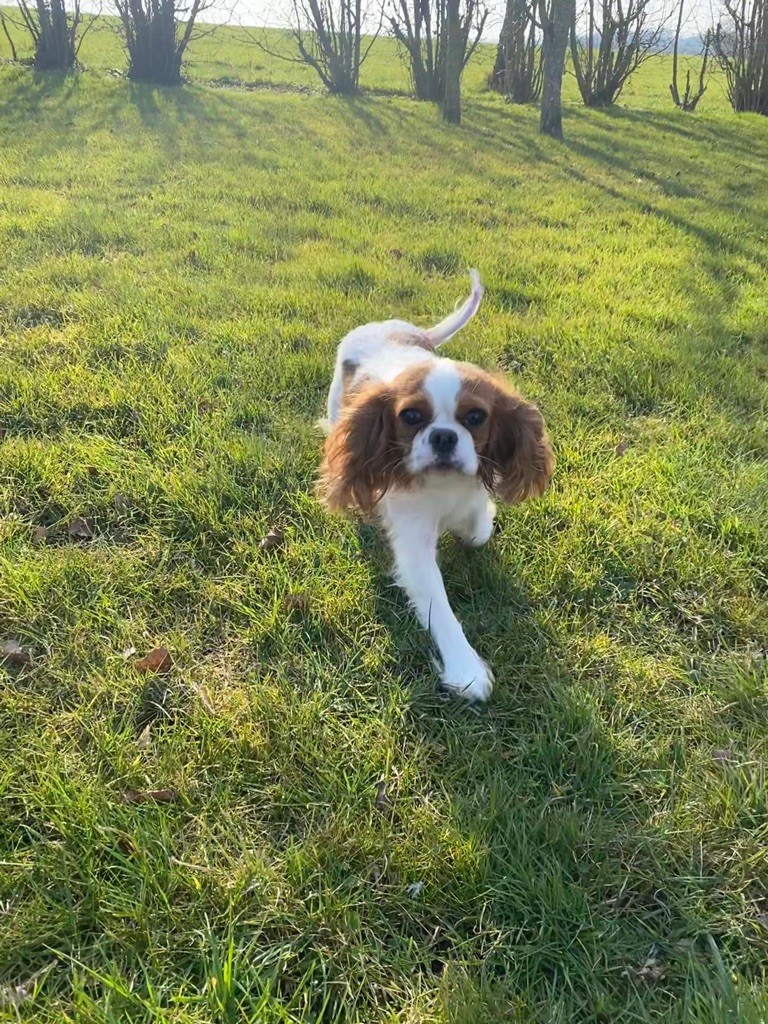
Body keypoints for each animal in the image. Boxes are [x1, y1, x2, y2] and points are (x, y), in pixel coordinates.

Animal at [319, 270, 552, 704]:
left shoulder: (473, 496)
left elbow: (478, 530)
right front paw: (466, 669)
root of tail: (395, 326)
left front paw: (474, 522)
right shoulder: (413, 545)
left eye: (475, 417)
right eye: (411, 416)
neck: (444, 486)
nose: (444, 436)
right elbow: (440, 609)